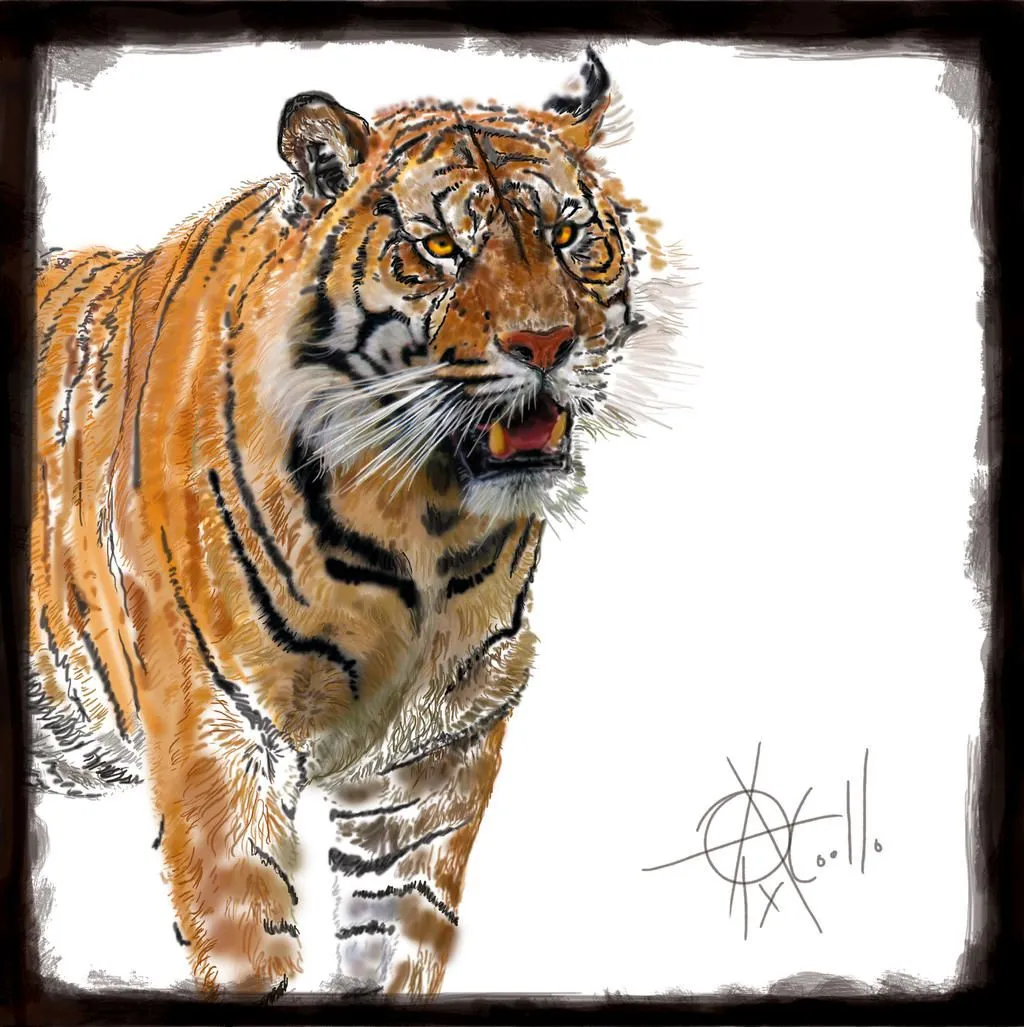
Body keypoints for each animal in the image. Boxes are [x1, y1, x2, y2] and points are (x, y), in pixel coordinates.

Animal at [29, 47, 684, 997]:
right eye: (440, 248)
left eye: (567, 237)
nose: (548, 344)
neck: (427, 523)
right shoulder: (221, 748)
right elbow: (250, 947)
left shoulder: (430, 771)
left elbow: (394, 943)